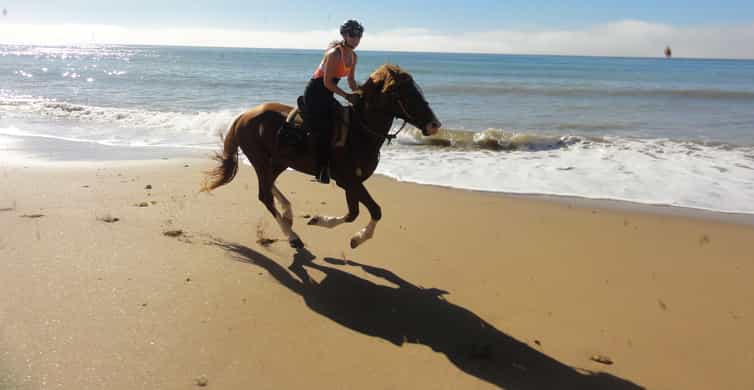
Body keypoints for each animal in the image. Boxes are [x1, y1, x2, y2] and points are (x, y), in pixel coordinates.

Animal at [203, 63, 444, 247]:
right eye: (406, 94)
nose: (434, 124)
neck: (360, 131)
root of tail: (243, 116)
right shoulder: (349, 180)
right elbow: (375, 210)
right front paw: (359, 237)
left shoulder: (351, 182)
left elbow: (353, 213)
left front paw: (321, 221)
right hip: (260, 159)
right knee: (265, 195)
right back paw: (292, 236)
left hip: (280, 160)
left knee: (269, 184)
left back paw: (288, 212)